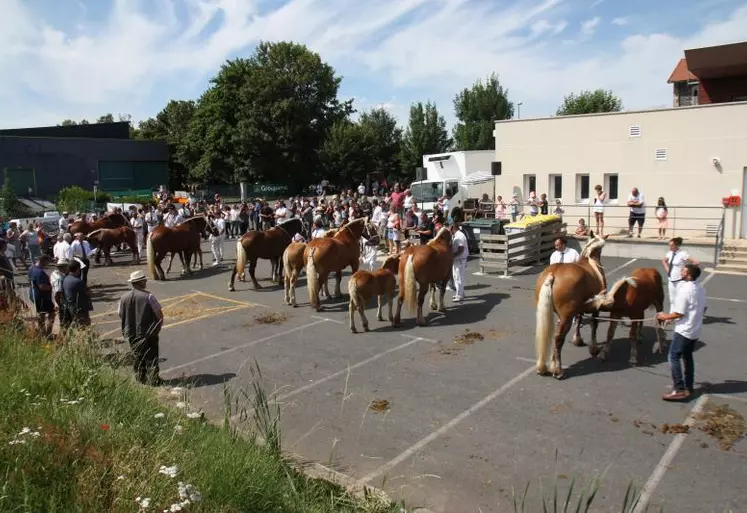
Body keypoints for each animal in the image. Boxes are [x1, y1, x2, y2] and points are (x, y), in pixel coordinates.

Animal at [532, 230, 608, 378]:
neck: (591, 262)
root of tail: (552, 274)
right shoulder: (596, 308)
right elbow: (594, 326)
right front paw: (594, 348)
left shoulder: (579, 308)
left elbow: (578, 321)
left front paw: (577, 340)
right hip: (566, 316)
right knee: (558, 338)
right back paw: (558, 370)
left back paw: (544, 367)